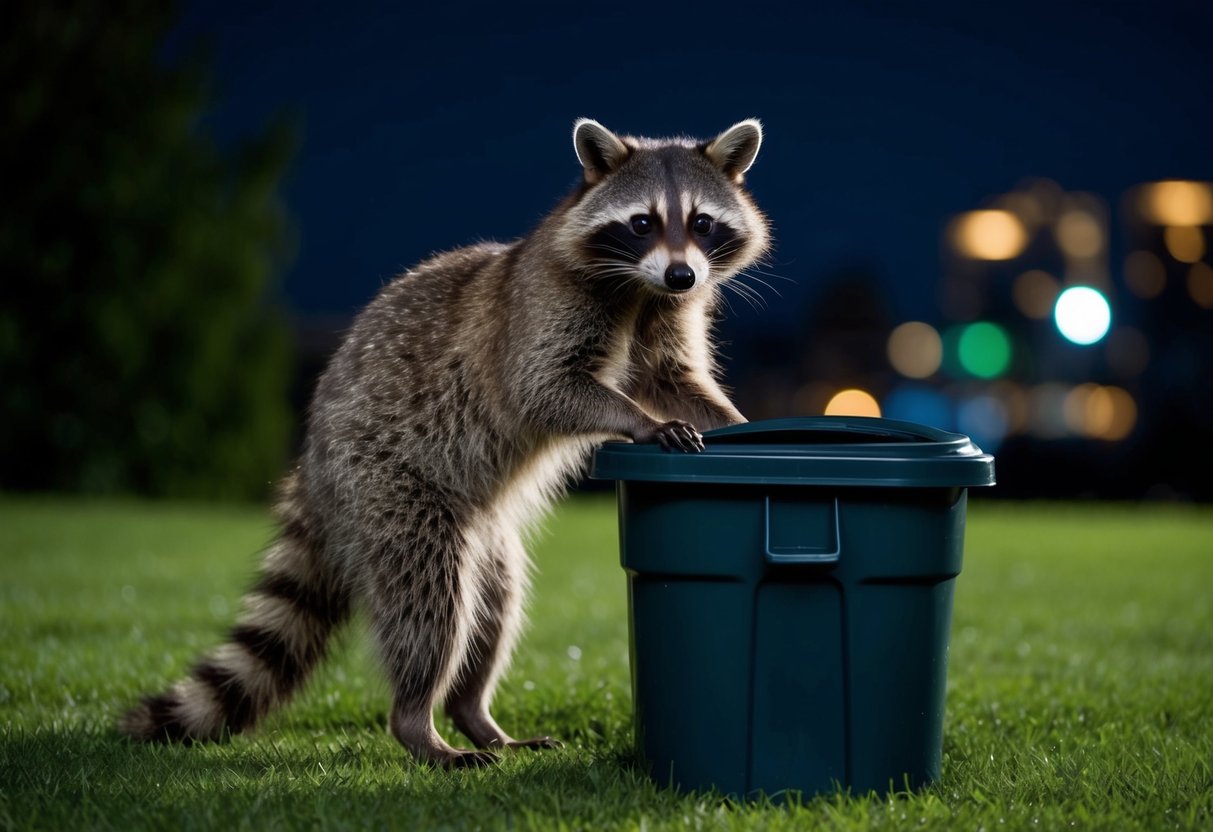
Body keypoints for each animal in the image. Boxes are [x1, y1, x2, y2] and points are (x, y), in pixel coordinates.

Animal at [121, 118, 771, 768]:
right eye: (642, 223)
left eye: (702, 223)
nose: (683, 275)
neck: (639, 288)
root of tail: (312, 464)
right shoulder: (544, 310)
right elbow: (543, 389)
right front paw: (637, 420)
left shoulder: (665, 315)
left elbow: (675, 382)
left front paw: (735, 421)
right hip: (383, 489)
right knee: (430, 603)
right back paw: (418, 722)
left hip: (483, 535)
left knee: (493, 608)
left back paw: (473, 713)